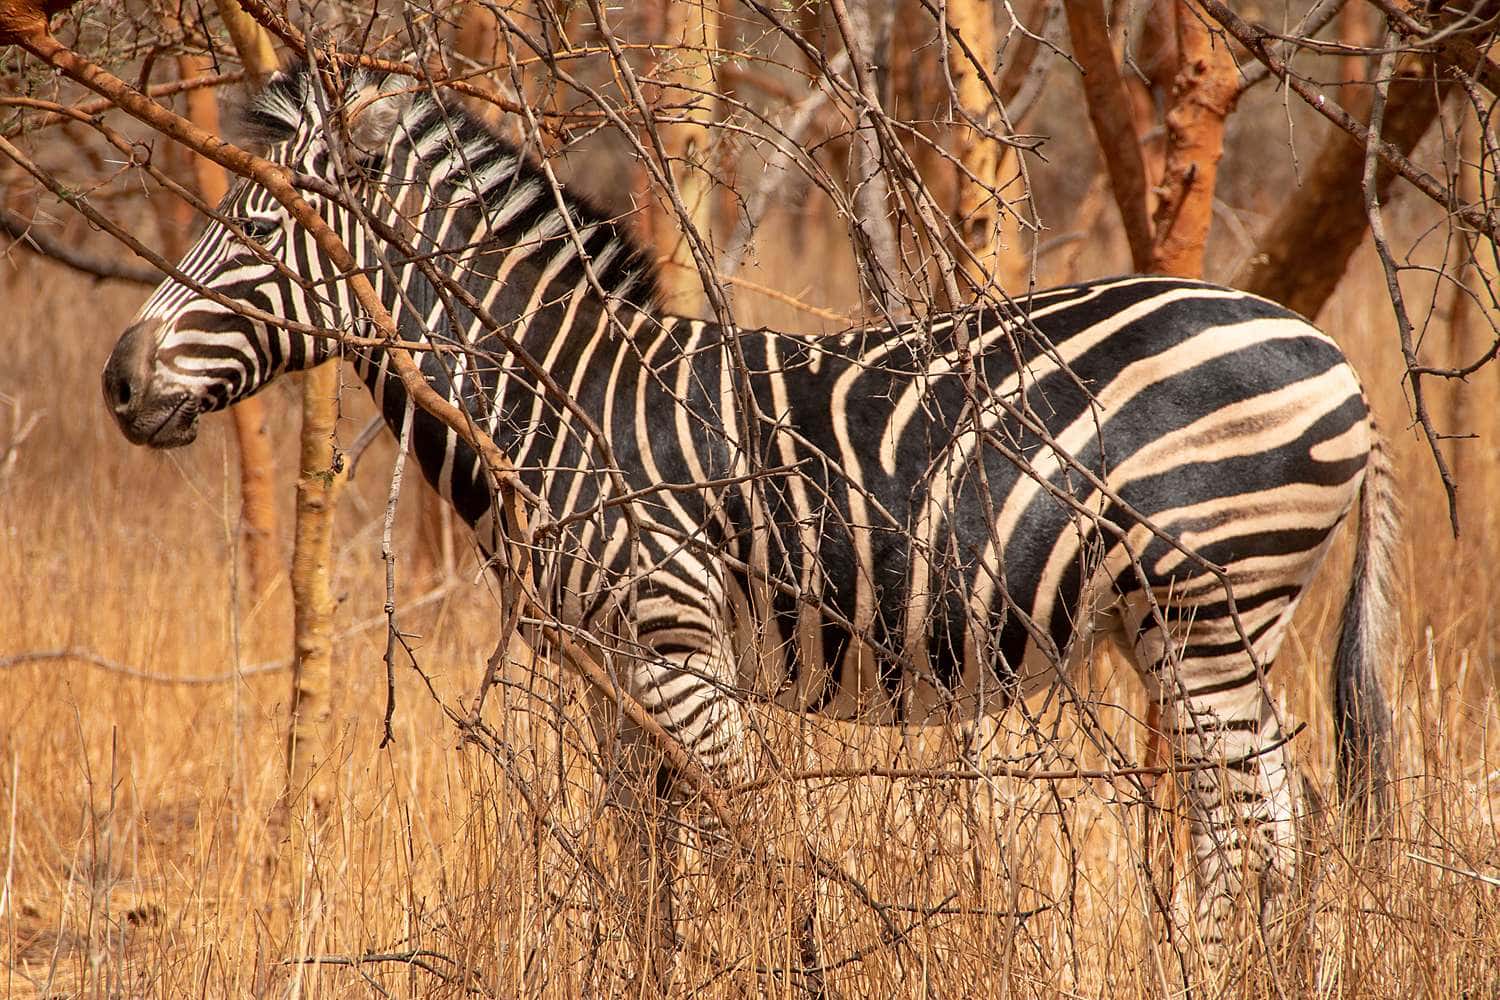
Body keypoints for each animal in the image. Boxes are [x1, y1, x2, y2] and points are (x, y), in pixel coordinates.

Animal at [103, 64, 1395, 956]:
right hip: (1176, 626)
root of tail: (1324, 345)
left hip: (1209, 607)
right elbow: (646, 870)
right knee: (1279, 828)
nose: (119, 382)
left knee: (1249, 842)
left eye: (257, 228)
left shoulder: (677, 650)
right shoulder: (613, 673)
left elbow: (752, 858)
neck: (562, 404)